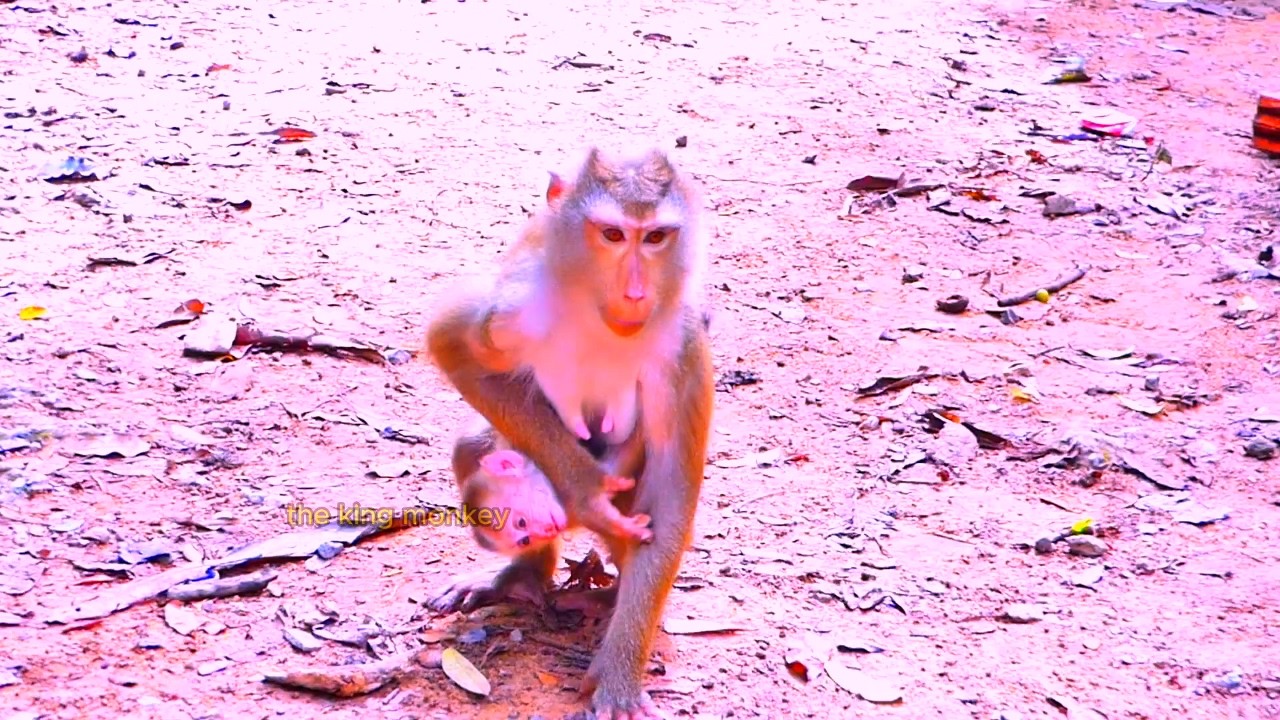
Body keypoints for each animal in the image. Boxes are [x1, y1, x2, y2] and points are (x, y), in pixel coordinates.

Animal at [425, 146, 713, 720]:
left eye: (654, 237)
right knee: (476, 444)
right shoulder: (512, 306)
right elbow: (454, 344)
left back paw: (605, 599)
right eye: (611, 234)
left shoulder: (683, 346)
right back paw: (520, 578)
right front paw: (586, 494)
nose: (635, 292)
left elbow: (668, 493)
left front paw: (619, 675)